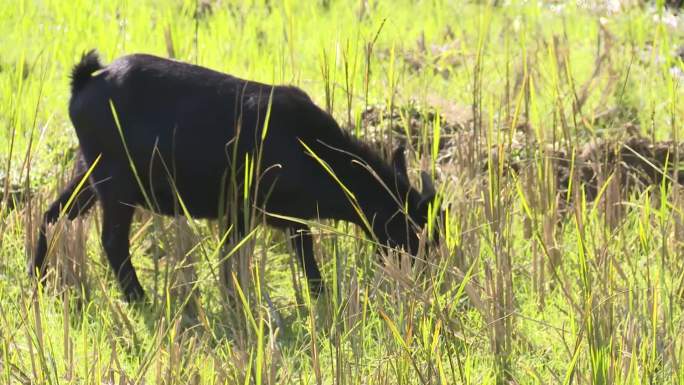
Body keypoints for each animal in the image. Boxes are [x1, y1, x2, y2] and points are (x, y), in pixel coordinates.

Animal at [30, 51, 438, 302]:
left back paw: (39, 280)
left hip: (87, 172)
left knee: (51, 216)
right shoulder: (244, 210)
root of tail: (84, 81)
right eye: (414, 229)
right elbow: (248, 257)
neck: (310, 147)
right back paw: (140, 300)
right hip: (116, 184)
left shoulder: (281, 217)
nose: (427, 279)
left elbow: (293, 255)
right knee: (112, 242)